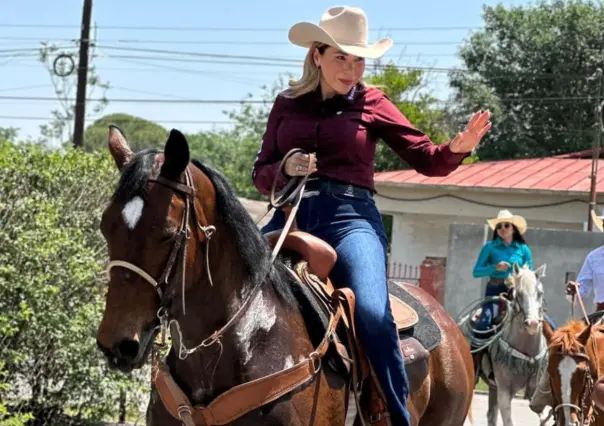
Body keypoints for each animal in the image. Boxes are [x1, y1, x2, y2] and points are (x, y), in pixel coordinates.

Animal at [476, 262, 552, 426]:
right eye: (517, 294)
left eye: (540, 293)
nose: (532, 324)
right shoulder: (504, 392)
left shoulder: (535, 392)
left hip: (493, 388)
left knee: (491, 416)